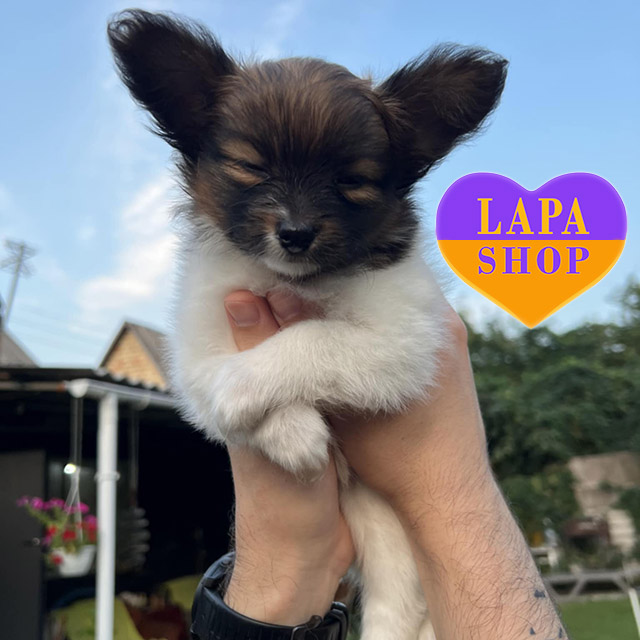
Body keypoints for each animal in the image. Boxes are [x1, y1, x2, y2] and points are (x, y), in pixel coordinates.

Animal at [108, 10, 506, 639]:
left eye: (352, 180)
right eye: (250, 167)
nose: (295, 233)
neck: (294, 280)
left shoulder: (405, 337)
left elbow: (312, 338)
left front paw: (245, 389)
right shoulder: (194, 345)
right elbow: (214, 380)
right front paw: (293, 434)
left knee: (401, 600)